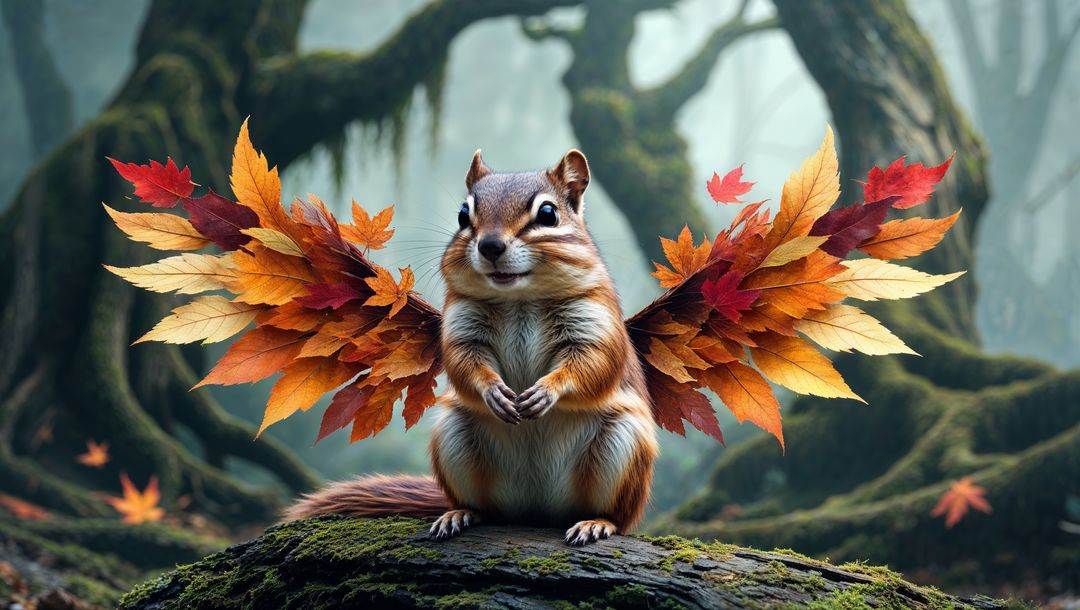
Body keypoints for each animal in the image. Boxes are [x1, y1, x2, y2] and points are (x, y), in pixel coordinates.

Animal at [284, 149, 659, 546]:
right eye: (463, 215)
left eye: (548, 214)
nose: (490, 246)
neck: (520, 296)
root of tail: (535, 511)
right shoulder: (463, 326)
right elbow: (464, 362)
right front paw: (493, 391)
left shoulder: (593, 321)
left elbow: (593, 363)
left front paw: (545, 391)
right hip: (454, 439)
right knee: (485, 507)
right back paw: (460, 514)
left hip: (622, 448)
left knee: (618, 514)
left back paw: (596, 522)